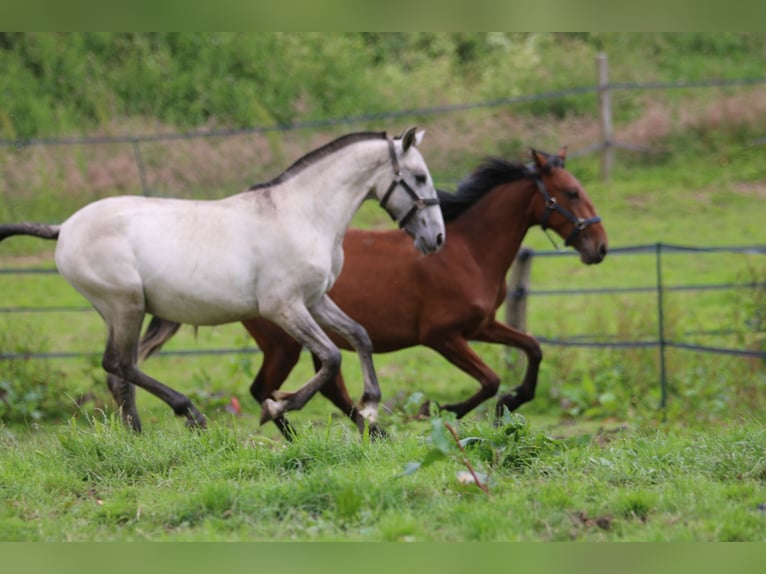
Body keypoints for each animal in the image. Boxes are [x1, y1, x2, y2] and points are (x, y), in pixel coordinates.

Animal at [0, 127, 448, 432]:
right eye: (419, 178)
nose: (437, 238)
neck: (302, 214)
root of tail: (64, 228)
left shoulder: (315, 299)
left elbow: (359, 336)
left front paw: (370, 404)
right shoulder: (282, 306)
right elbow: (332, 356)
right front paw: (277, 407)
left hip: (131, 312)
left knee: (119, 373)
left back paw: (138, 438)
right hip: (124, 305)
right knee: (118, 364)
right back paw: (189, 414)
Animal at [127, 146, 608, 438]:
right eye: (570, 192)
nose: (599, 247)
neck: (467, 249)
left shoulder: (483, 324)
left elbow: (533, 347)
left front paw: (514, 399)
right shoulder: (443, 335)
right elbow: (489, 379)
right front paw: (446, 408)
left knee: (325, 386)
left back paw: (363, 428)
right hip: (284, 342)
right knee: (270, 387)